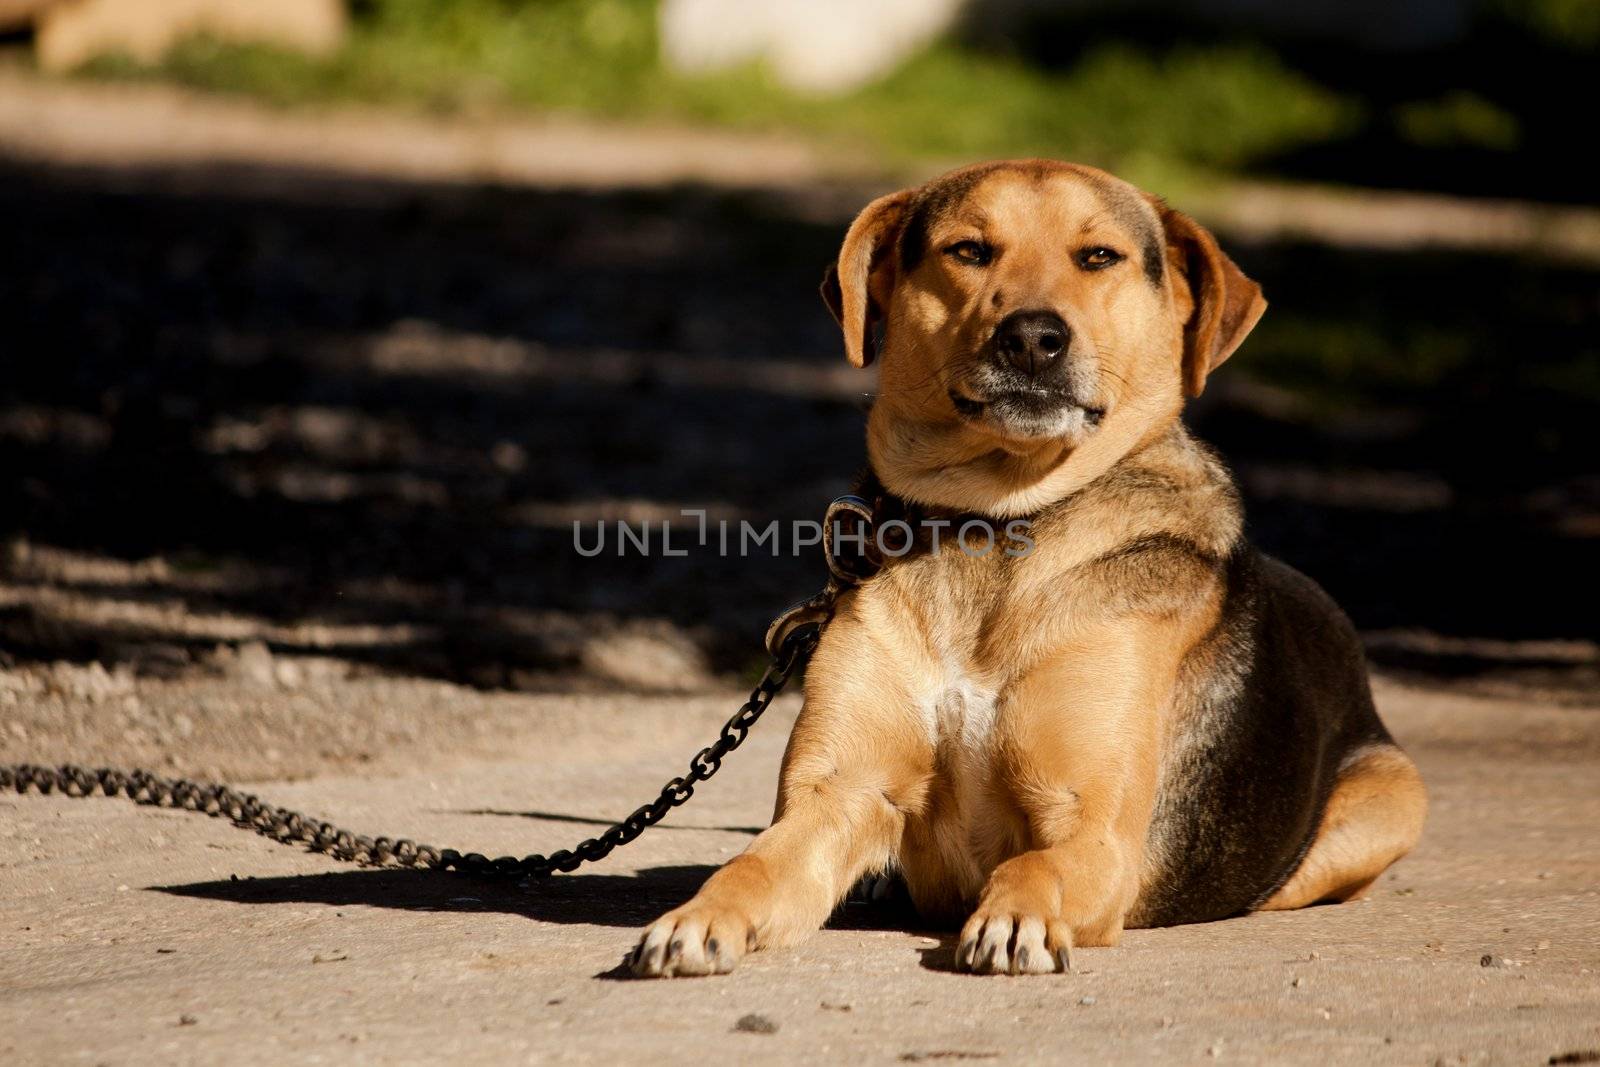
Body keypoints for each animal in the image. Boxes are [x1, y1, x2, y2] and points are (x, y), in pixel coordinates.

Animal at [624, 158, 1427, 979]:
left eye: (1099, 256)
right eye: (969, 251)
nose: (1034, 338)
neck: (995, 517)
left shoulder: (1094, 830)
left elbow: (1033, 863)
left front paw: (1016, 918)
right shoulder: (838, 795)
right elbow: (751, 864)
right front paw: (696, 918)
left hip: (1393, 797)